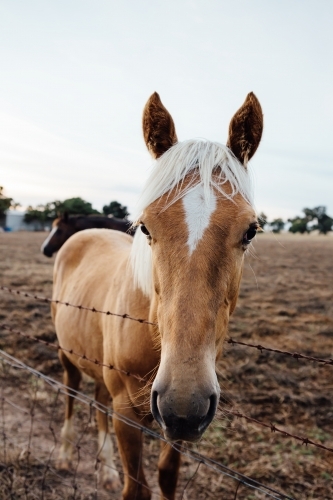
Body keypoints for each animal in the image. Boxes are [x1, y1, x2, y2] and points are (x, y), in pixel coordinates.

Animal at [52, 91, 262, 500]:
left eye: (251, 231)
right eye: (146, 227)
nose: (184, 398)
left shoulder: (179, 421)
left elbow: (166, 476)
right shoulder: (127, 414)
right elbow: (137, 488)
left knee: (97, 404)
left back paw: (105, 470)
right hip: (68, 357)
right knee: (70, 396)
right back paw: (66, 454)